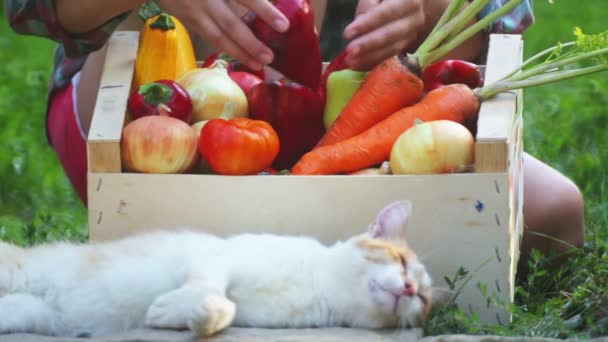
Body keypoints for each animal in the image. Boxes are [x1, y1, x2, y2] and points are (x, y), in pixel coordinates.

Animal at [0, 200, 440, 336]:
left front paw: (197, 318)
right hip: (14, 272)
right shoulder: (217, 258)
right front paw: (175, 309)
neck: (319, 285)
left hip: (33, 314)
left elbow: (226, 307)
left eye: (422, 301)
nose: (407, 289)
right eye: (401, 261)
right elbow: (212, 286)